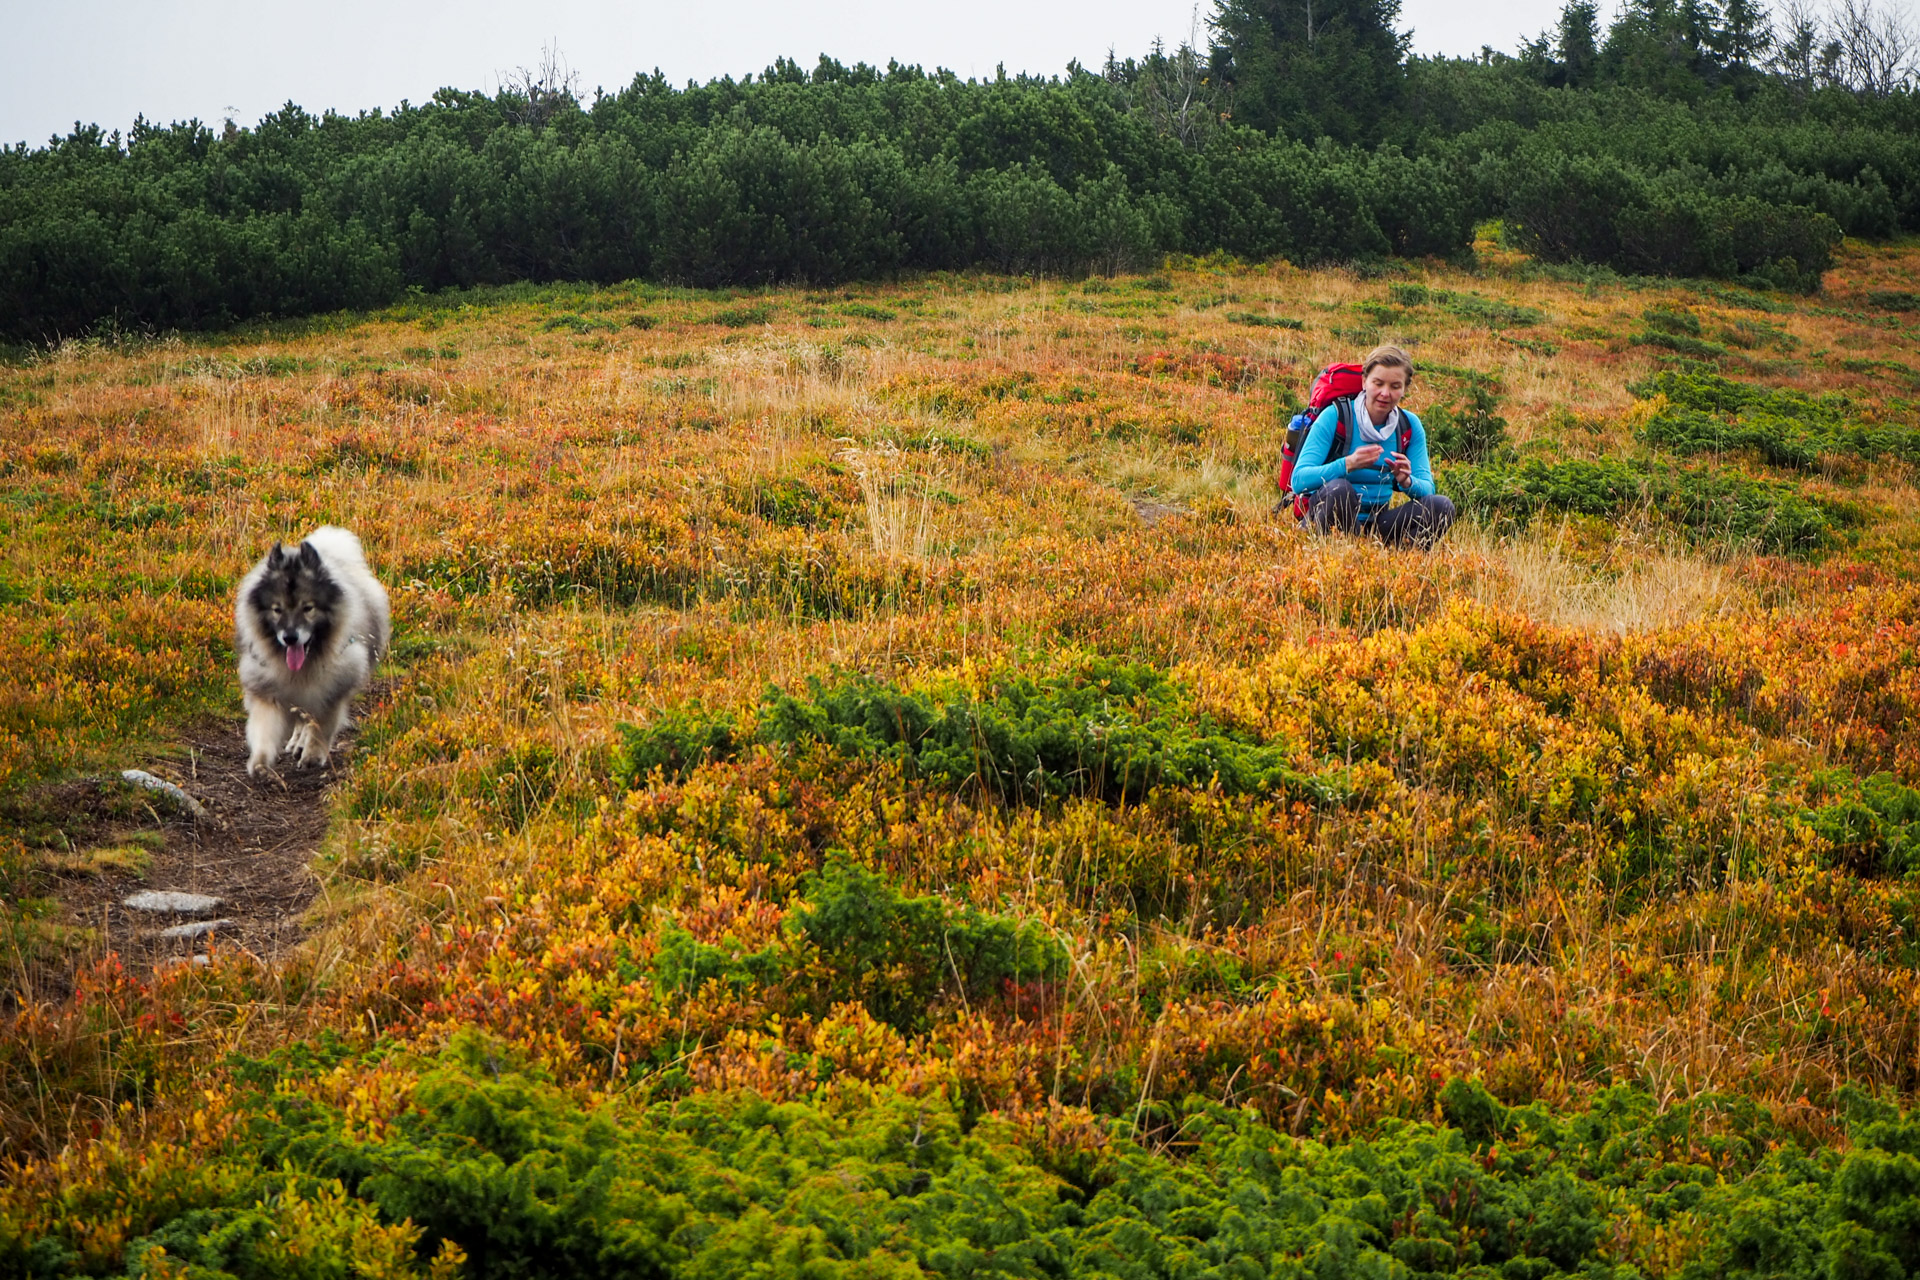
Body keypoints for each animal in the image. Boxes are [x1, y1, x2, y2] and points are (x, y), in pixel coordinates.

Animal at [234, 525, 391, 775]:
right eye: (277, 609)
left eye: (308, 608)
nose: (290, 638)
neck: (302, 668)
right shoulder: (267, 689)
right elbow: (264, 728)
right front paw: (260, 762)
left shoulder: (330, 691)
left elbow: (321, 727)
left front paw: (312, 756)